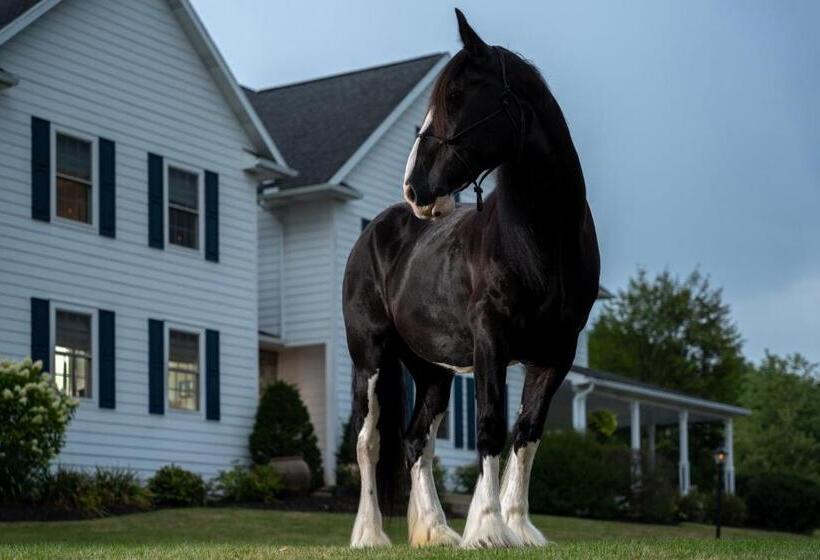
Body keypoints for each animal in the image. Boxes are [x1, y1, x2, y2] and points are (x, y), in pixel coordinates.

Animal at [343, 9, 600, 548]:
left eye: (456, 95)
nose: (415, 189)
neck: (544, 239)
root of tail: (375, 229)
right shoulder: (490, 340)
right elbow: (490, 426)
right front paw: (487, 528)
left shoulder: (557, 352)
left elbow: (527, 432)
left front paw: (518, 526)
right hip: (369, 356)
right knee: (369, 440)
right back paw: (371, 535)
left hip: (432, 371)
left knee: (415, 440)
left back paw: (438, 532)